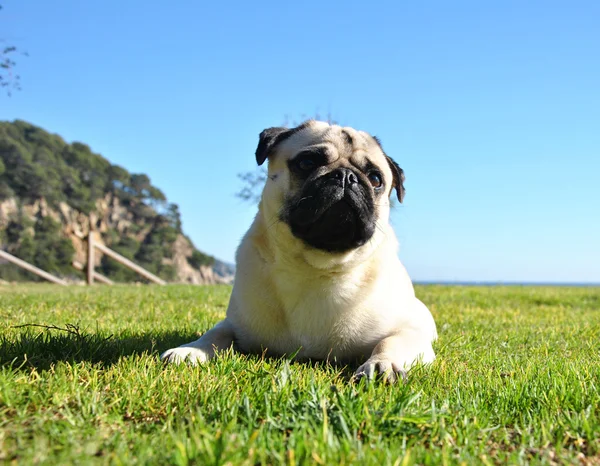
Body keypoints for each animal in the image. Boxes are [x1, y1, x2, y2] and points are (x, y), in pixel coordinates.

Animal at [162, 120, 438, 382]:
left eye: (376, 179)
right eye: (307, 163)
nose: (346, 176)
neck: (315, 268)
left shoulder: (410, 332)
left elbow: (390, 341)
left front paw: (382, 363)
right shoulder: (235, 324)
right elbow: (215, 333)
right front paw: (191, 350)